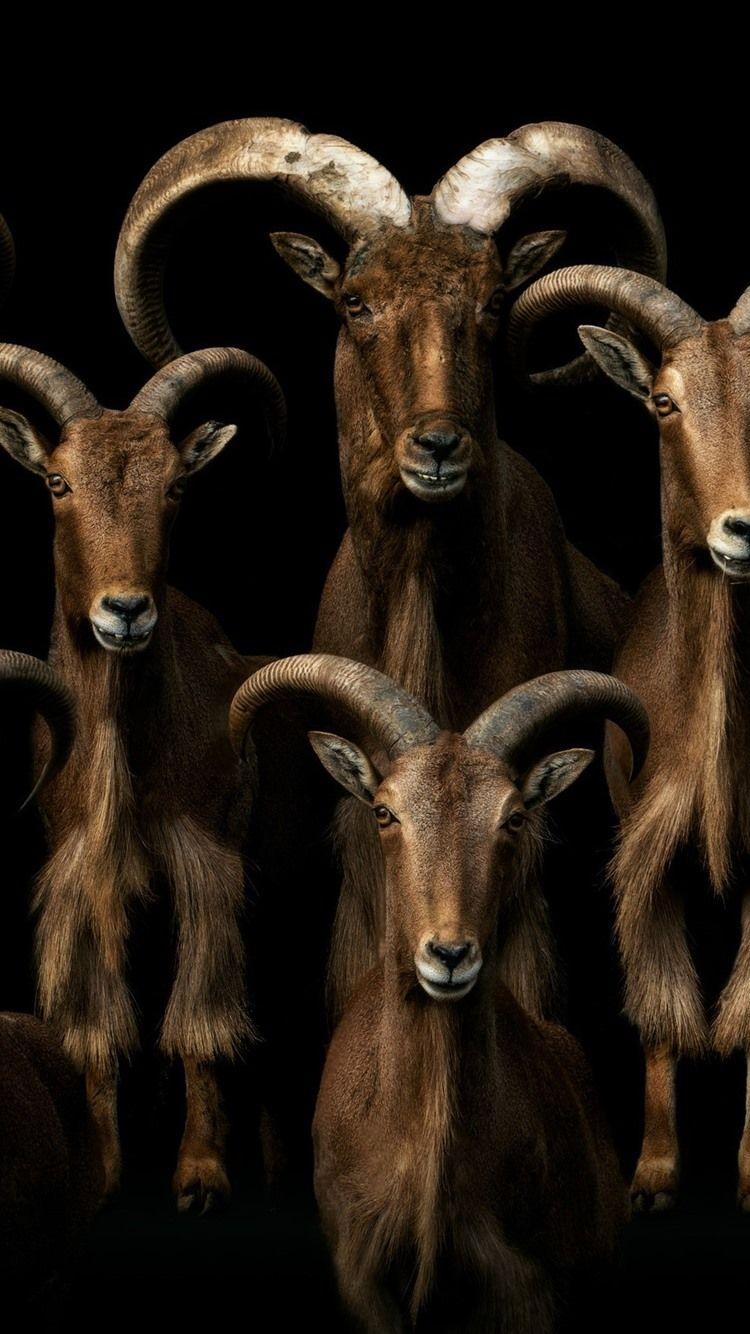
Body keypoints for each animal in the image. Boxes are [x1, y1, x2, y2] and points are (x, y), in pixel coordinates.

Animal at [0, 342, 285, 1209]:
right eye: (57, 482)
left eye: (175, 485)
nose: (124, 611)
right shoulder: (84, 867)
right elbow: (100, 1025)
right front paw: (104, 1170)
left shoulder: (208, 863)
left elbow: (198, 1023)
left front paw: (200, 1177)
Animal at [508, 264, 750, 1211]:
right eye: (663, 400)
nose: (742, 529)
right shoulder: (641, 834)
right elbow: (657, 1003)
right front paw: (652, 1176)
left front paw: (747, 1173)